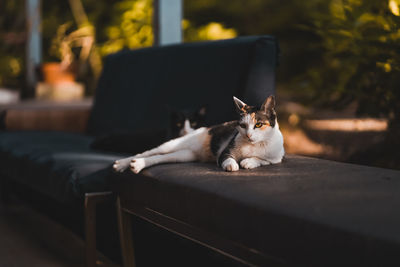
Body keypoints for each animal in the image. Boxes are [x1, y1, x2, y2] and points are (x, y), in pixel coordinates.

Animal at [113, 96, 284, 174]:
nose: (248, 135)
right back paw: (123, 163)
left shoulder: (276, 157)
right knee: (148, 152)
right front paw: (232, 164)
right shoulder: (224, 152)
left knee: (160, 158)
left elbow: (263, 160)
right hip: (173, 144)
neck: (252, 145)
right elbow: (227, 158)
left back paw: (137, 165)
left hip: (184, 155)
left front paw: (249, 162)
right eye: (242, 125)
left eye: (258, 125)